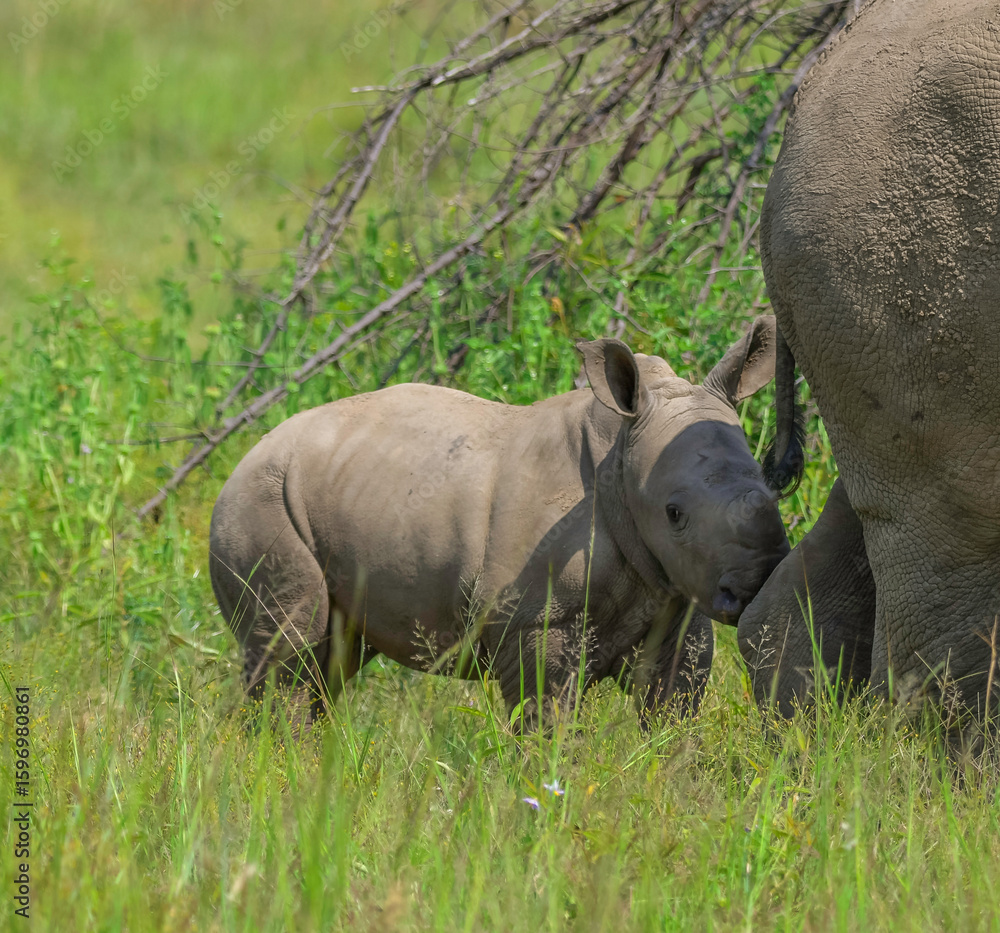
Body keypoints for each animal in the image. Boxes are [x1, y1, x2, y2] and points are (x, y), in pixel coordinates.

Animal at [209, 316, 789, 730]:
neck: (621, 461)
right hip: (259, 500)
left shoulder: (675, 594)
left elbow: (671, 706)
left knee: (330, 664)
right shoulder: (534, 618)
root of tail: (244, 456)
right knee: (289, 653)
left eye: (772, 488)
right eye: (674, 514)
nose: (756, 581)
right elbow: (546, 718)